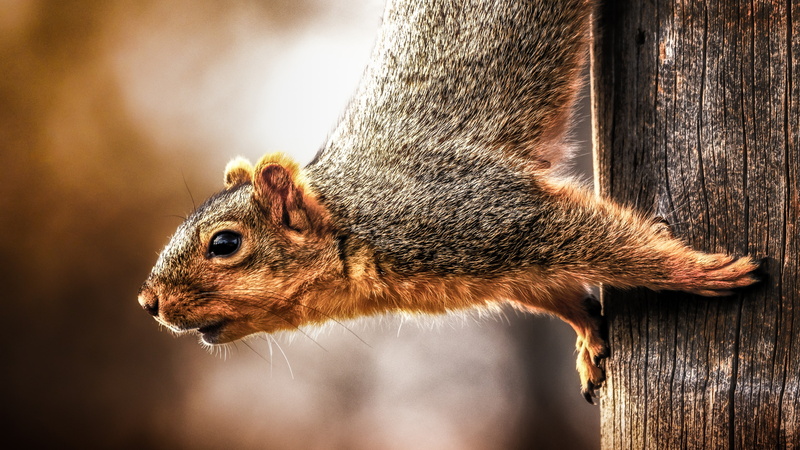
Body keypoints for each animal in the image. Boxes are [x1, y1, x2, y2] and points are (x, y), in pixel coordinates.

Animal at [138, 0, 760, 403]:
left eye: (225, 243)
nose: (148, 302)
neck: (354, 219)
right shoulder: (501, 266)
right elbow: (555, 291)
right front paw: (588, 335)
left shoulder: (480, 212)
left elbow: (605, 238)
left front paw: (701, 271)